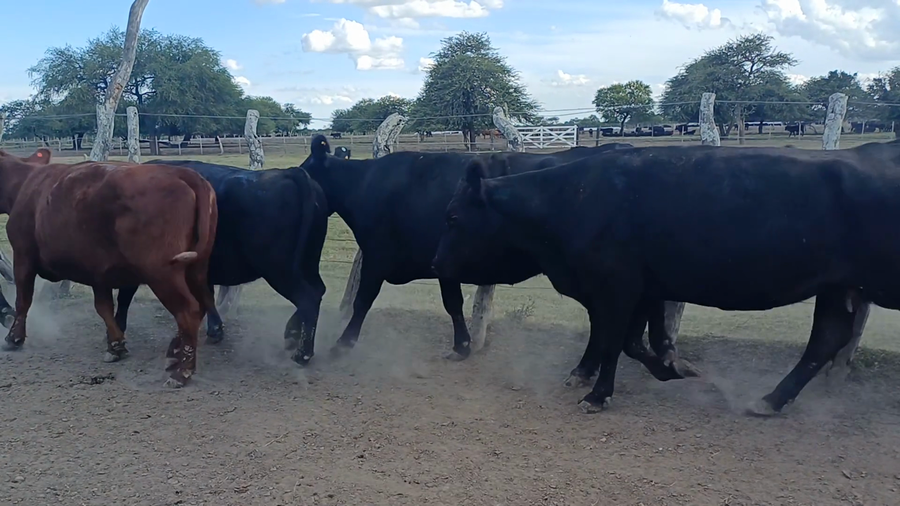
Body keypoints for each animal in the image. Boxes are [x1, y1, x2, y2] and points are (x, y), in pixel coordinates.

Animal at [0, 149, 217, 387]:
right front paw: (115, 345)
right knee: (202, 304)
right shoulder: (98, 271)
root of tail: (182, 173)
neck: (25, 182)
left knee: (188, 310)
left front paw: (14, 338)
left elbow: (23, 300)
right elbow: (105, 307)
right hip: (196, 269)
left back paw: (181, 372)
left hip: (162, 274)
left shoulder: (23, 256)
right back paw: (175, 355)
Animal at [110, 158, 329, 365]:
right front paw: (215, 330)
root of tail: (290, 172)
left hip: (278, 269)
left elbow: (125, 298)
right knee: (317, 291)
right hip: (306, 264)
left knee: (308, 297)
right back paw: (291, 335)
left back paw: (302, 354)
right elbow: (206, 295)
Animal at [298, 135, 647, 364]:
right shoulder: (442, 265)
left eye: (303, 170)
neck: (367, 184)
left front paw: (342, 344)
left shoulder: (377, 256)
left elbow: (362, 302)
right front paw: (462, 346)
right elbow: (453, 304)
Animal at [432, 142, 900, 416]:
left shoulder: (618, 287)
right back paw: (769, 400)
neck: (574, 197)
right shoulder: (645, 288)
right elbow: (637, 340)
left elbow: (616, 341)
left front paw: (598, 394)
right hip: (838, 286)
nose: (435, 262)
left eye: (453, 217)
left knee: (828, 337)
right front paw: (673, 367)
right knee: (827, 336)